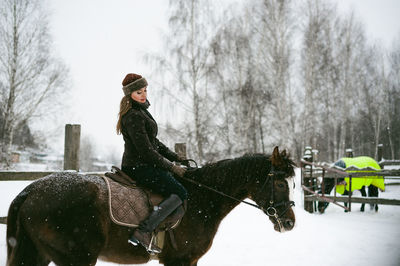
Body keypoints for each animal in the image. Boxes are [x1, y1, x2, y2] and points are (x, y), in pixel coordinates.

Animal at [5, 147, 294, 264]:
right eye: (281, 183)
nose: (290, 222)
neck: (202, 197)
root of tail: (30, 190)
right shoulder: (179, 261)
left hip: (40, 254)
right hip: (76, 258)